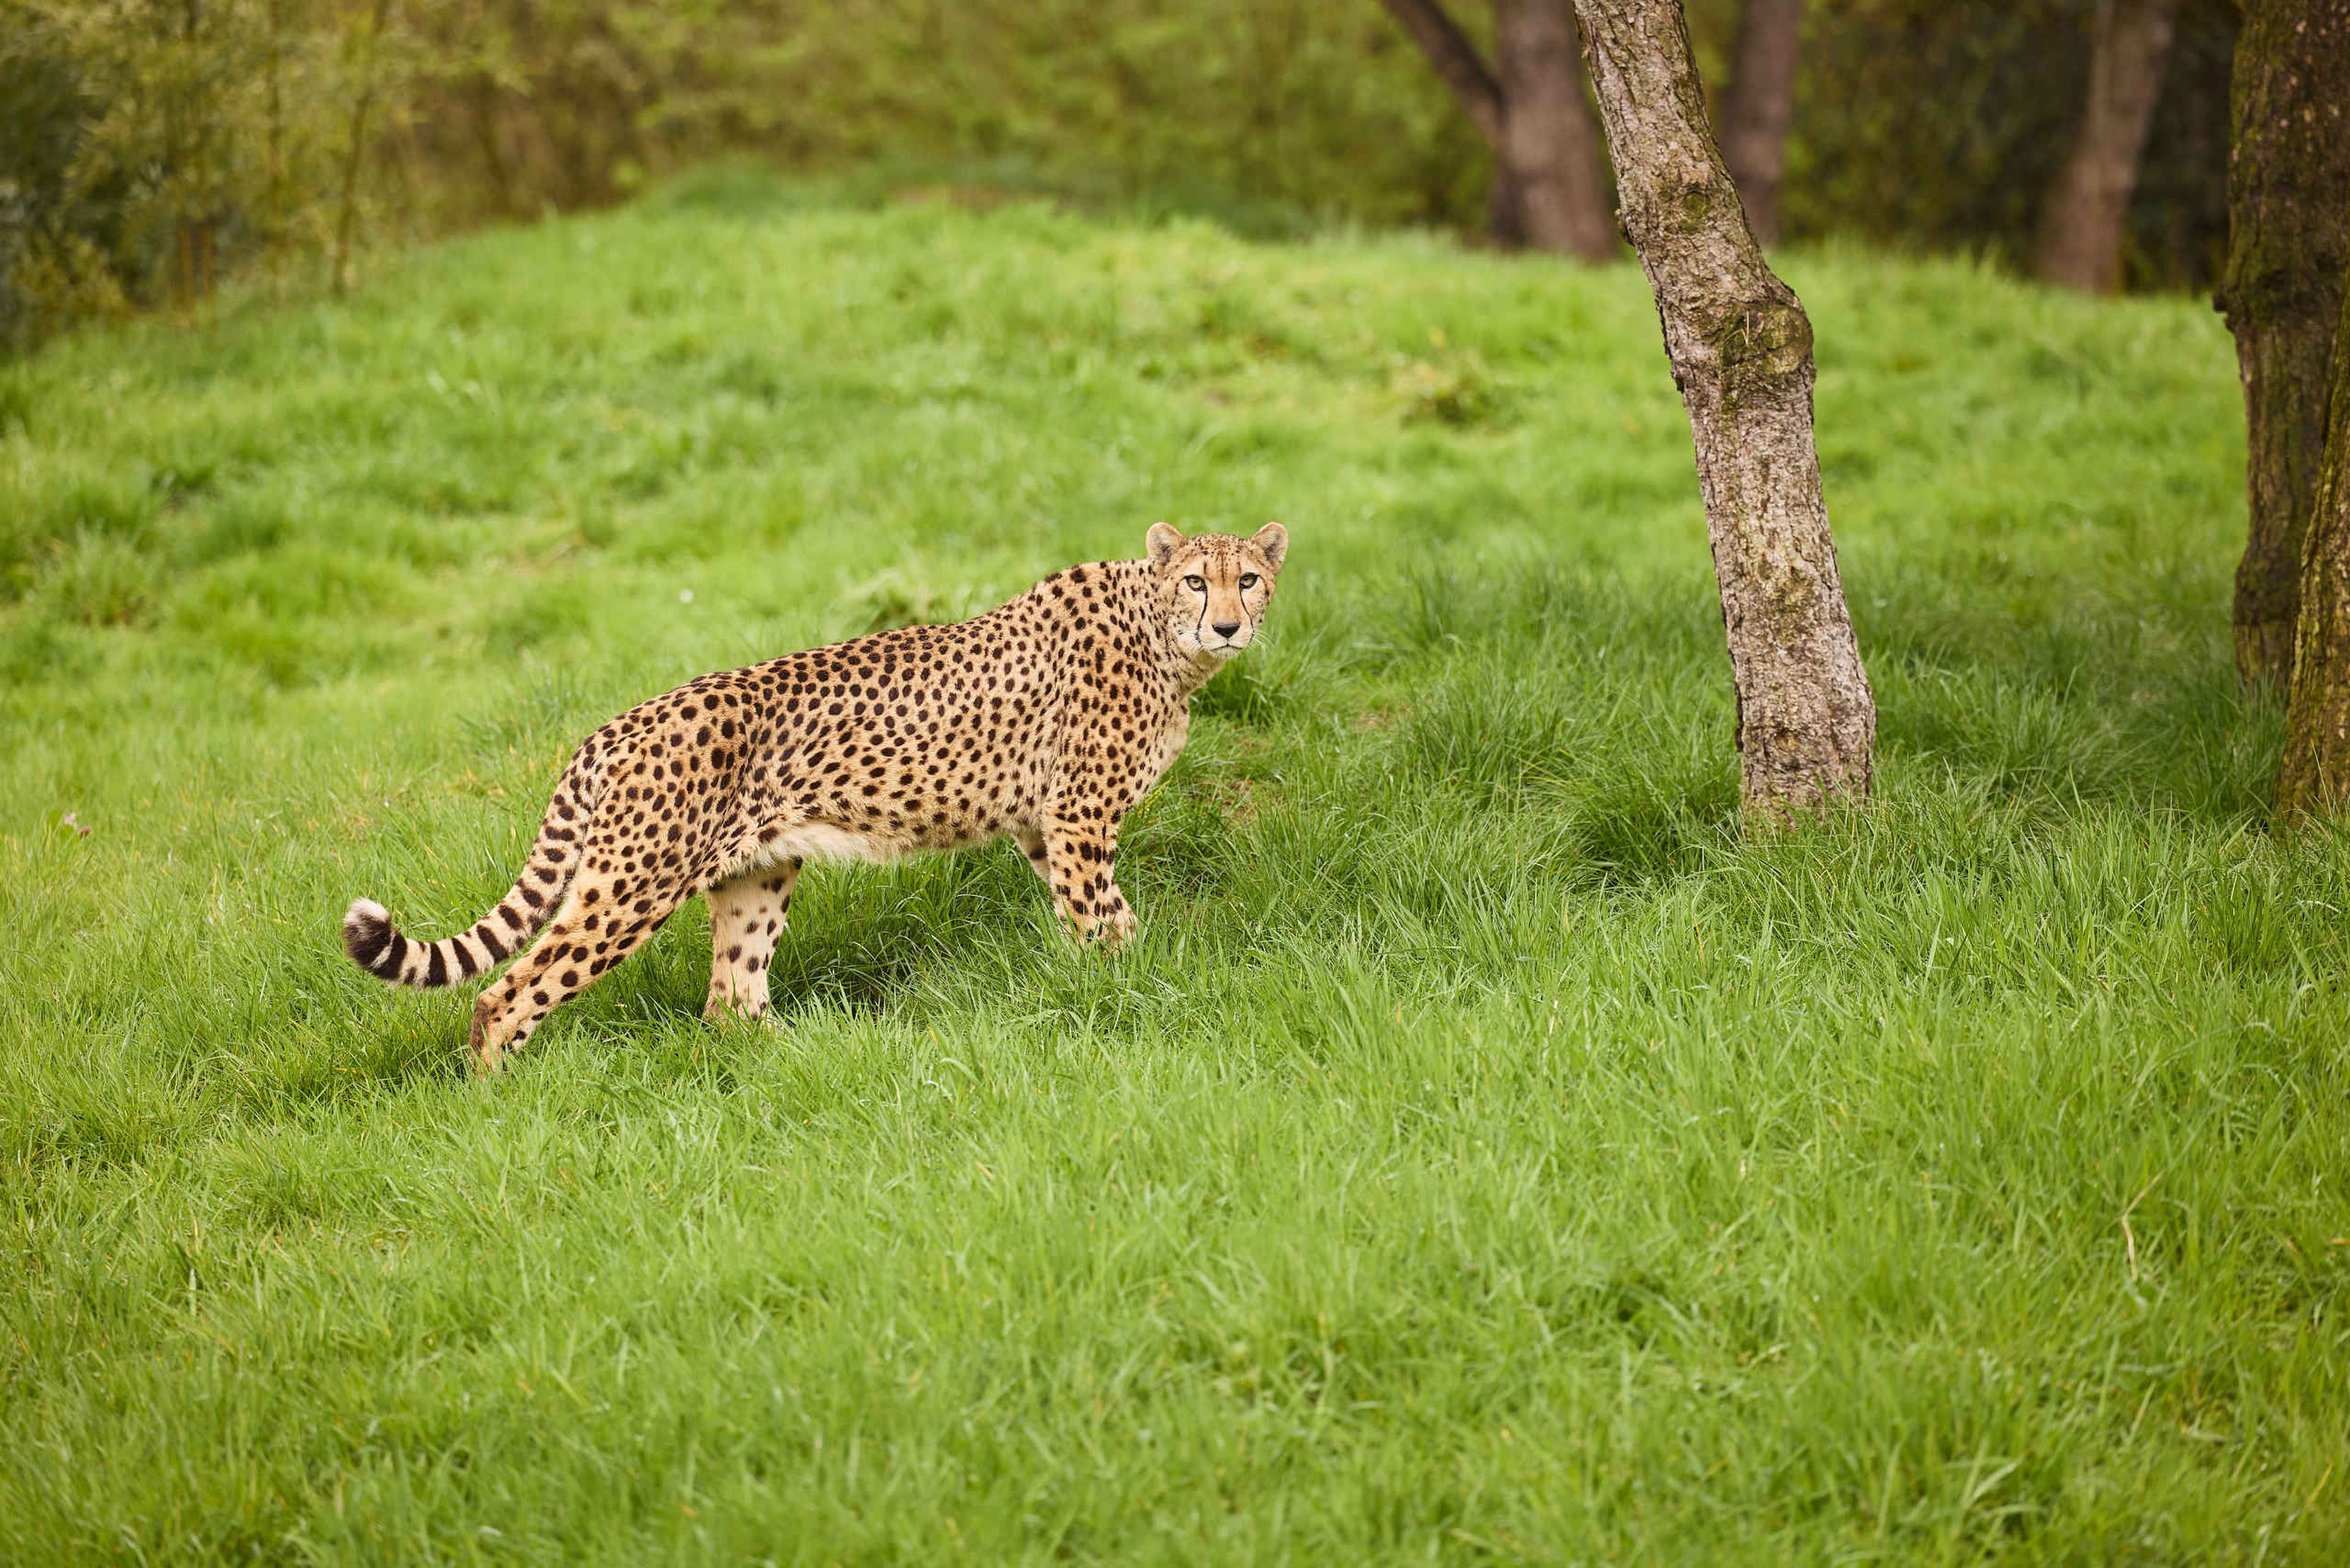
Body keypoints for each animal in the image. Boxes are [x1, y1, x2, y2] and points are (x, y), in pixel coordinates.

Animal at [341, 521, 1288, 1074]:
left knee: (729, 1000)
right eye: (1198, 581)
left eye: (1248, 579)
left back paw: (806, 1061)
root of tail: (614, 725)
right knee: (509, 992)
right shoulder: (1077, 817)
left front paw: (1129, 981)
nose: (1229, 624)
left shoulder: (1041, 825)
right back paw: (497, 1100)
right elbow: (1103, 922)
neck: (1164, 638)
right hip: (632, 885)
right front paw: (1128, 992)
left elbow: (1096, 918)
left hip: (755, 874)